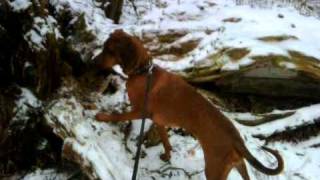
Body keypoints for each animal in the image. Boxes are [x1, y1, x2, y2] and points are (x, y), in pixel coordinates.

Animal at [94, 29, 282, 180]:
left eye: (109, 50)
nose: (92, 62)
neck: (144, 72)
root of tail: (237, 141)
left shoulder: (140, 112)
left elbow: (117, 115)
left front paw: (102, 116)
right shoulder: (159, 122)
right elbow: (166, 142)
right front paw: (167, 156)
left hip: (213, 170)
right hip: (238, 166)